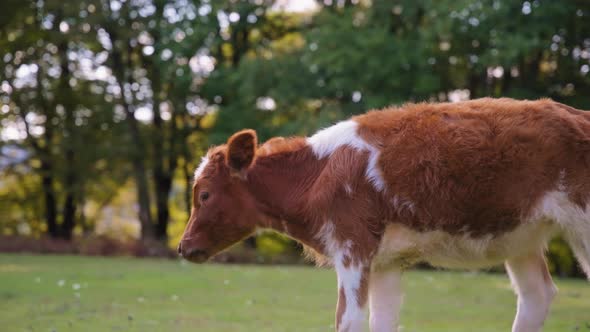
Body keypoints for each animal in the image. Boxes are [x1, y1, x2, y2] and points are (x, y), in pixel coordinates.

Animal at [179, 98, 590, 332]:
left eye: (204, 194)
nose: (183, 247)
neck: (319, 174)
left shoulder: (353, 247)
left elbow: (348, 321)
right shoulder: (386, 261)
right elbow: (381, 323)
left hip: (582, 223)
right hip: (521, 238)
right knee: (536, 295)